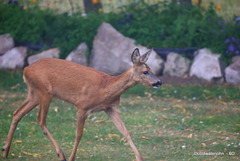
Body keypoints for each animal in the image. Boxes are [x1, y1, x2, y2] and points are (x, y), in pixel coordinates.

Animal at [1, 48, 161, 161]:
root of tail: (25, 69)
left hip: (34, 93)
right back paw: (61, 155)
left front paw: (139, 158)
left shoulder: (110, 108)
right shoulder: (82, 106)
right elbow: (78, 134)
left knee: (17, 113)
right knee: (40, 119)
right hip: (45, 92)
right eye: (145, 71)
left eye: (152, 70)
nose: (159, 82)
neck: (105, 88)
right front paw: (72, 158)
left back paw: (5, 151)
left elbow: (125, 132)